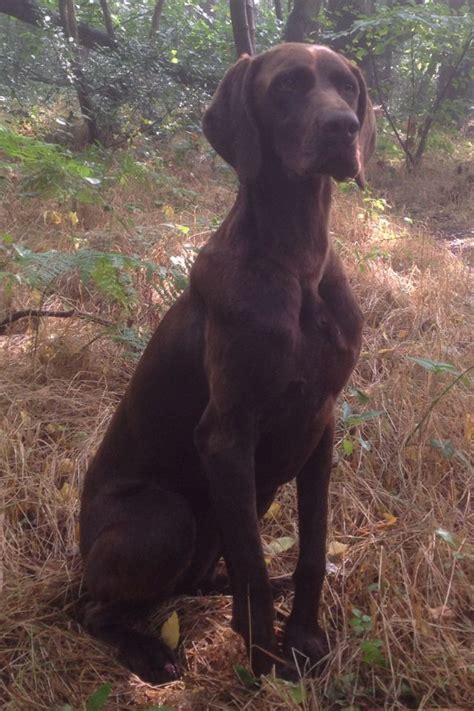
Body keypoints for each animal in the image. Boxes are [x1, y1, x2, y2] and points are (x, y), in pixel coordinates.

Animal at [79, 43, 376, 684]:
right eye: (287, 86)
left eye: (347, 87)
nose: (343, 128)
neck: (297, 263)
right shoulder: (227, 435)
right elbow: (255, 573)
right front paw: (265, 662)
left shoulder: (320, 423)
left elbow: (311, 548)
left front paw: (304, 636)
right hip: (166, 518)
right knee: (93, 607)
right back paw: (149, 649)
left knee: (212, 574)